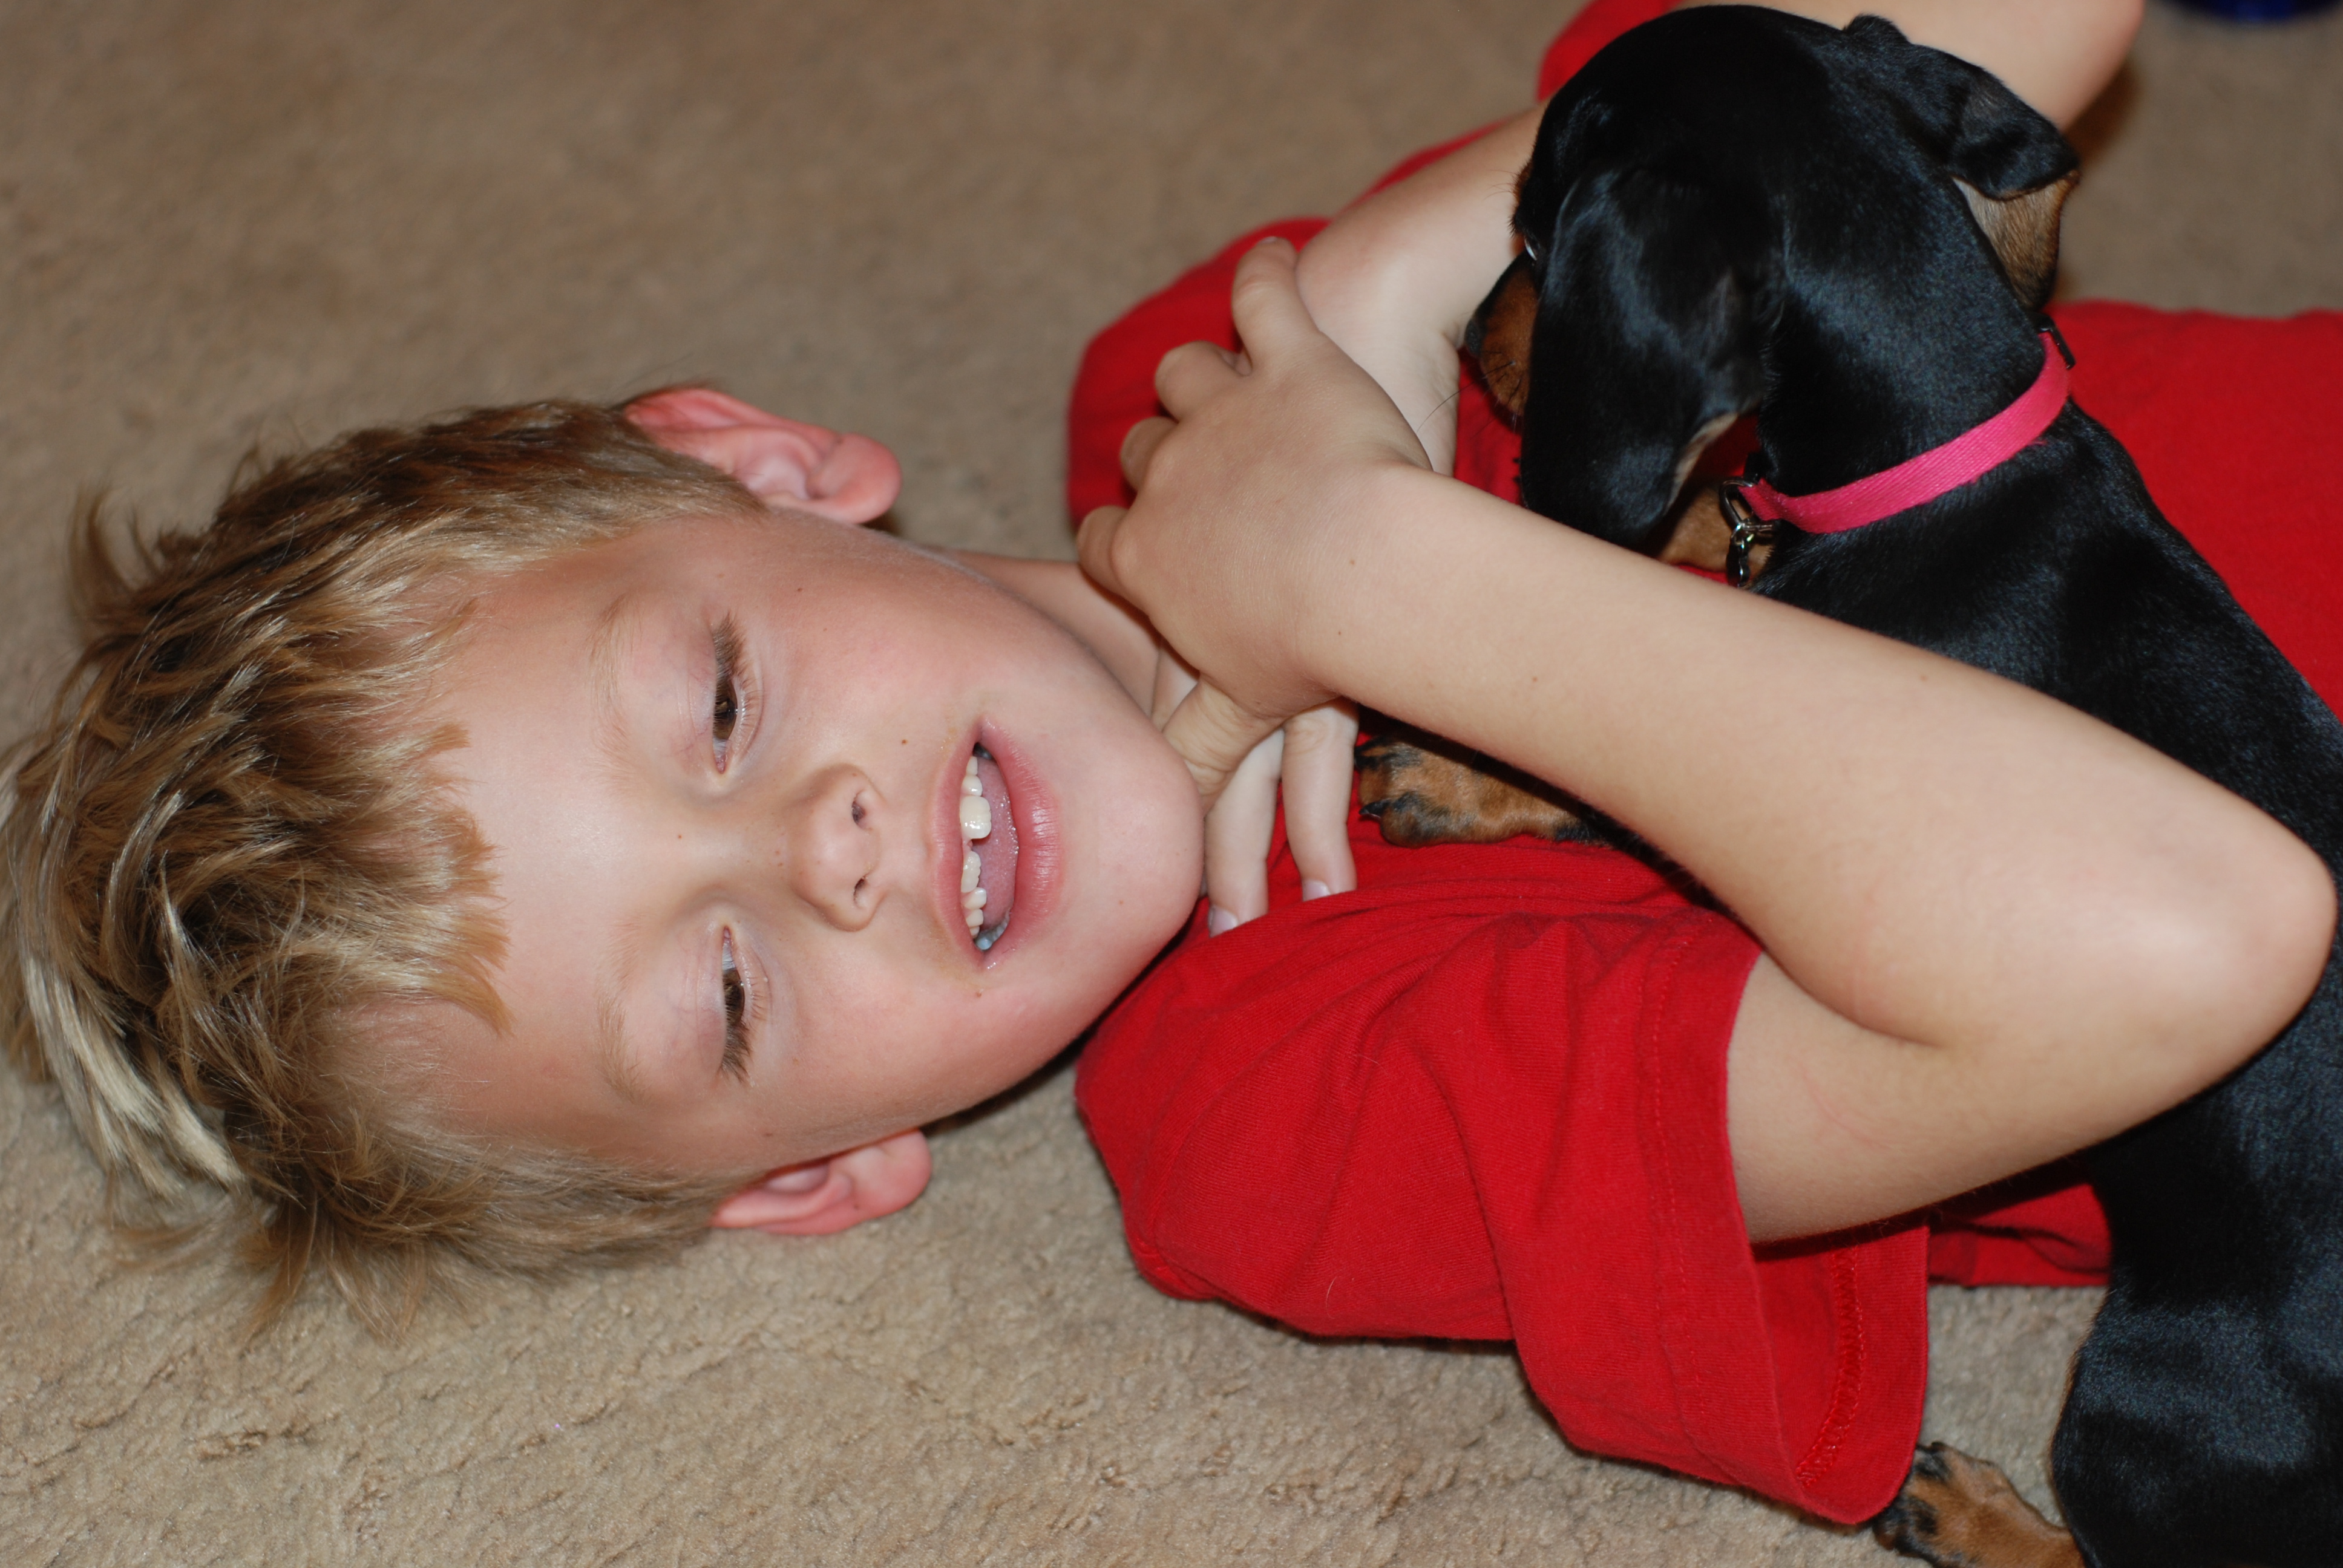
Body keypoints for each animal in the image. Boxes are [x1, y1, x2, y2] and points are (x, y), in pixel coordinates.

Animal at [1365, 10, 2343, 1566]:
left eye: (1534, 231)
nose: (1468, 345)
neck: (1929, 476)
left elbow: (1608, 762)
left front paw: (1455, 773)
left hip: (2150, 1401)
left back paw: (1971, 1511)